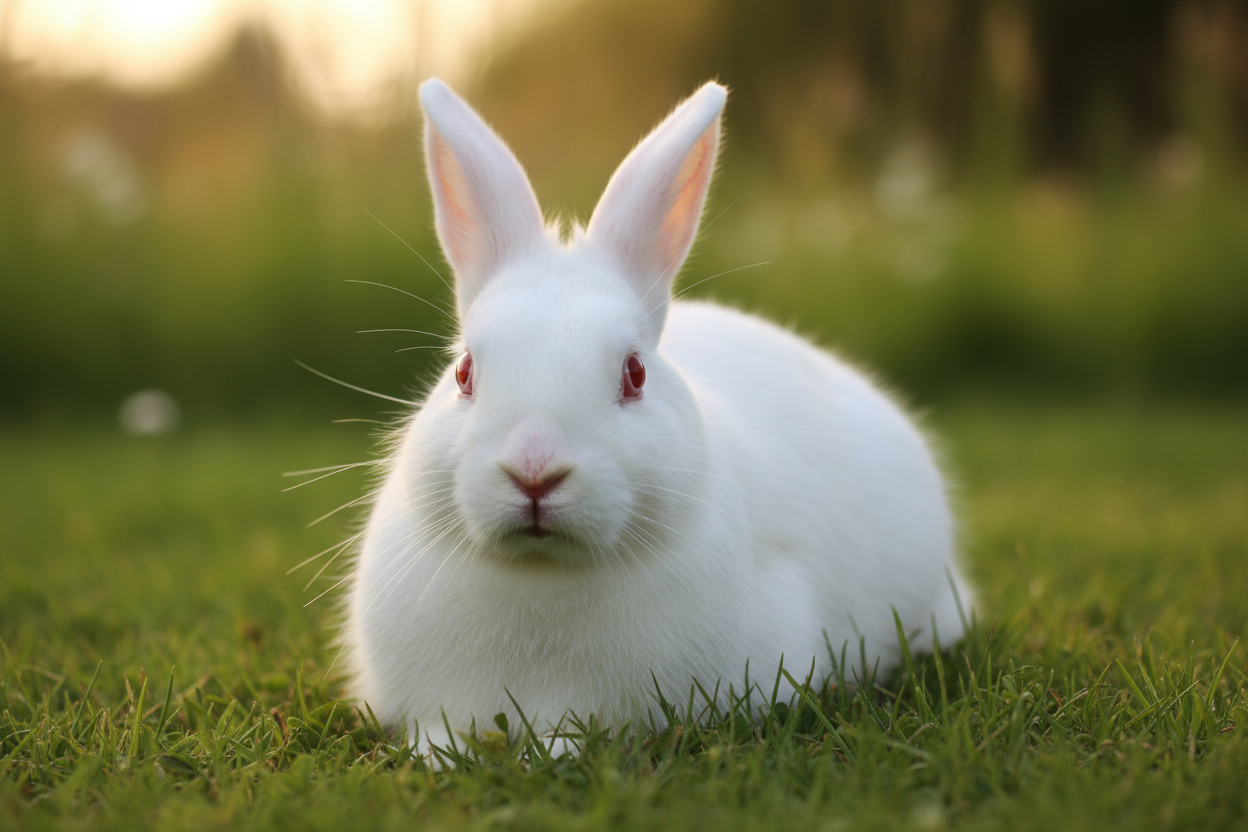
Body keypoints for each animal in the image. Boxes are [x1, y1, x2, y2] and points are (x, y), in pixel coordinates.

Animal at [342, 77, 974, 760]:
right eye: (463, 372)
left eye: (635, 373)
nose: (535, 470)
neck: (543, 572)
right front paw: (438, 758)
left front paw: (554, 752)